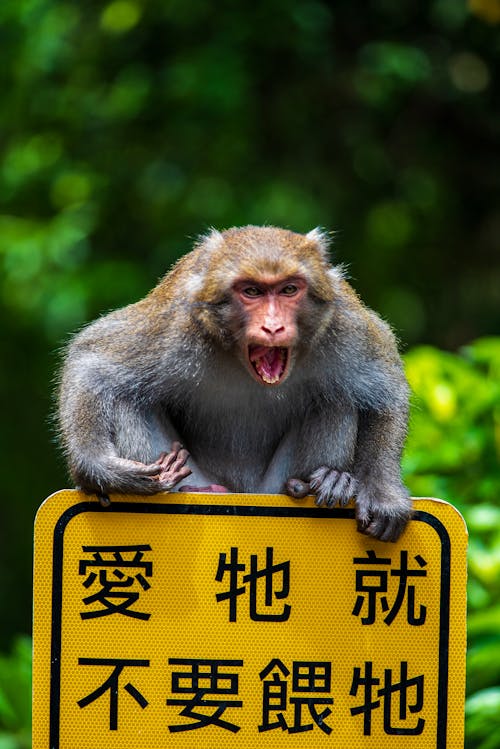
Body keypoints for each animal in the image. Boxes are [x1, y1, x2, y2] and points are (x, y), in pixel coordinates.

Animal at [57, 225, 414, 540]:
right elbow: (91, 361)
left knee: (336, 398)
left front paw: (383, 495)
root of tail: (244, 491)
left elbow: (387, 392)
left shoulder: (344, 323)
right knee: (126, 396)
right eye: (252, 291)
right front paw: (99, 469)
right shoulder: (174, 325)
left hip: (271, 485)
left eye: (289, 289)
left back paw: (322, 482)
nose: (273, 327)